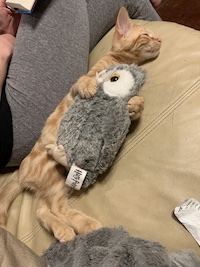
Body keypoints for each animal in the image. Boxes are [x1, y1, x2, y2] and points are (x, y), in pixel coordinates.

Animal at [0, 6, 161, 243]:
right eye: (146, 35)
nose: (160, 39)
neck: (116, 60)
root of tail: (21, 172)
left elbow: (137, 102)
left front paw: (134, 105)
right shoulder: (78, 84)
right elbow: (83, 81)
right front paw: (89, 86)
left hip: (58, 182)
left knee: (43, 210)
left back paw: (65, 230)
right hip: (55, 176)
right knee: (54, 208)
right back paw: (85, 225)